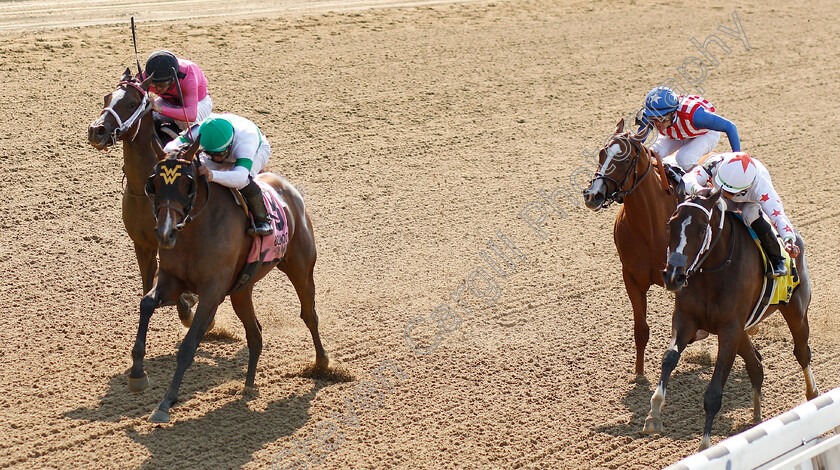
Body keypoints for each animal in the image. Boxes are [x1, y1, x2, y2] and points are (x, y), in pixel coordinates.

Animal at [88, 69, 197, 326]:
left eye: (131, 103)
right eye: (107, 97)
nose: (96, 130)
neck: (145, 191)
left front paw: (187, 310)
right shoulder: (142, 244)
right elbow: (148, 285)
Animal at [135, 137, 328, 422]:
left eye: (188, 183)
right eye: (154, 182)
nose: (165, 233)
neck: (195, 231)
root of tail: (290, 190)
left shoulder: (212, 292)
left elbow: (189, 345)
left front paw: (165, 402)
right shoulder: (172, 281)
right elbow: (146, 304)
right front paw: (137, 372)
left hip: (301, 268)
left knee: (309, 314)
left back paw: (323, 363)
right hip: (241, 290)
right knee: (255, 332)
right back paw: (248, 385)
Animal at [584, 118, 684, 374]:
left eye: (625, 159)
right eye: (602, 153)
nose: (592, 195)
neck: (651, 227)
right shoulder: (631, 277)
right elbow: (641, 330)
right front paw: (638, 373)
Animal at [644, 191, 820, 448]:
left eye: (701, 229)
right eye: (670, 225)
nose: (673, 275)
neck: (713, 273)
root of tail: (795, 238)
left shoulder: (729, 330)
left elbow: (714, 393)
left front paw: (705, 446)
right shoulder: (686, 320)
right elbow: (669, 358)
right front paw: (654, 414)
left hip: (796, 311)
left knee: (802, 352)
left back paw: (812, 395)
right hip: (743, 332)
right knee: (756, 366)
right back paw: (756, 418)